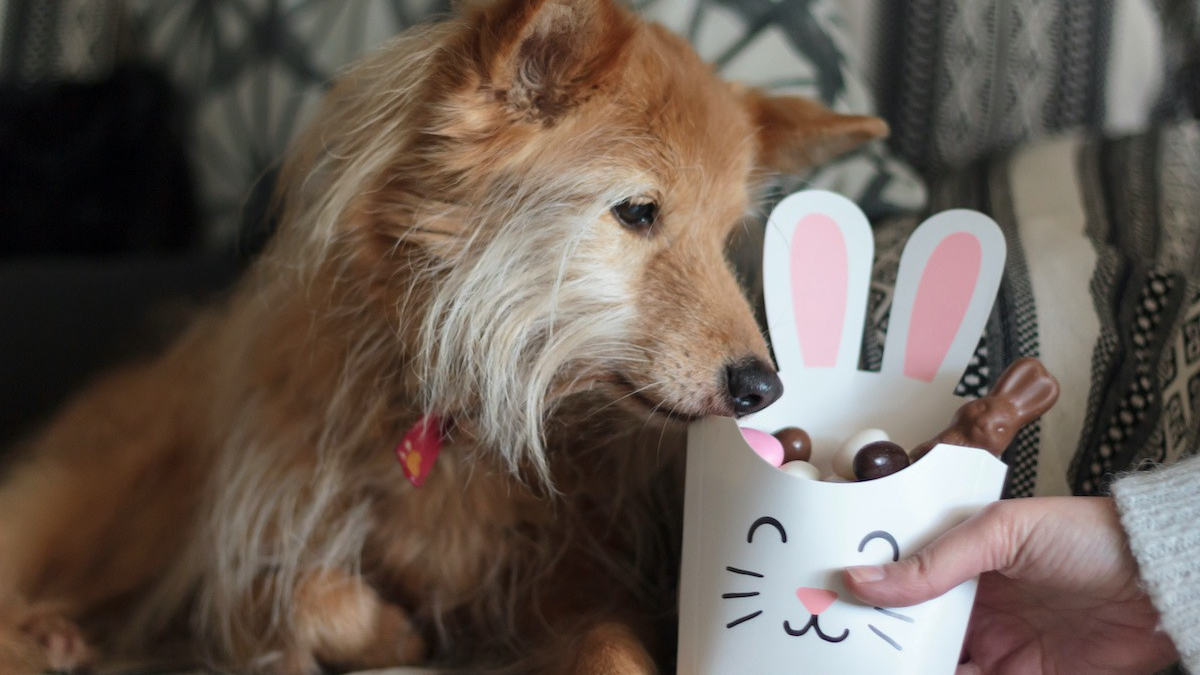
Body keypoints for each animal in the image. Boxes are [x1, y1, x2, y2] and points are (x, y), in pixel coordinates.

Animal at [0, 0, 883, 667]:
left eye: (727, 234)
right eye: (638, 211)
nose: (763, 386)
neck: (458, 416)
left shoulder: (583, 583)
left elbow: (611, 650)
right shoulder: (233, 560)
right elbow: (309, 591)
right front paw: (394, 635)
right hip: (88, 494)